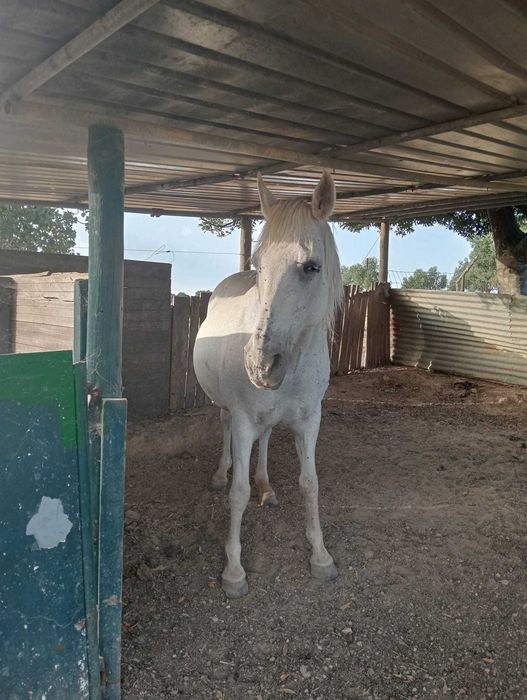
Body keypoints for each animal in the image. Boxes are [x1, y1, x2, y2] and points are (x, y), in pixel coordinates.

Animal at [193, 170, 343, 598]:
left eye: (312, 267)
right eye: (258, 265)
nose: (260, 365)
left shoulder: (310, 421)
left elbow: (309, 484)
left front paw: (321, 557)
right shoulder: (244, 420)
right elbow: (238, 493)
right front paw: (233, 571)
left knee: (266, 440)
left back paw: (267, 487)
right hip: (227, 410)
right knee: (226, 430)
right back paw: (220, 474)